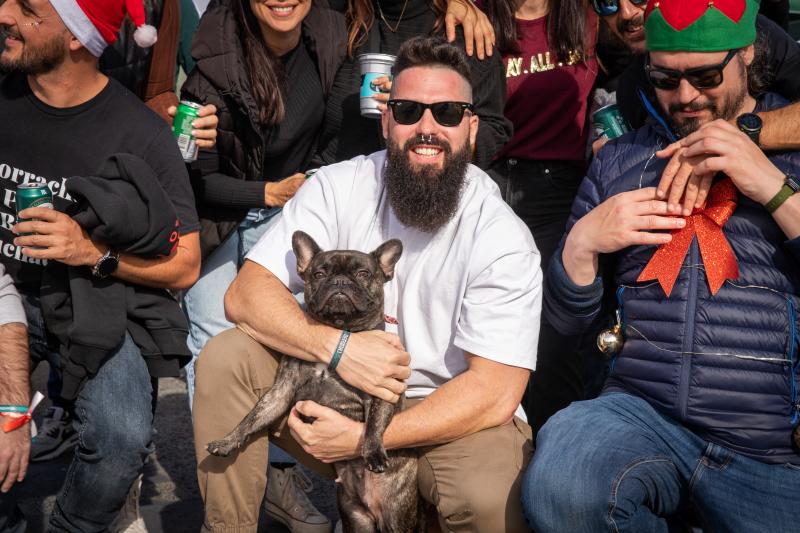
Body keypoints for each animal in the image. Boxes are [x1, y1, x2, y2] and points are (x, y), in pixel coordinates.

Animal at [205, 231, 418, 528]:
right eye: (319, 273)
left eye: (363, 273)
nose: (339, 281)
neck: (339, 330)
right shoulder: (281, 392)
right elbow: (251, 417)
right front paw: (227, 441)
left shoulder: (382, 389)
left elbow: (375, 424)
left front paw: (374, 453)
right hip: (355, 516)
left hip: (396, 517)